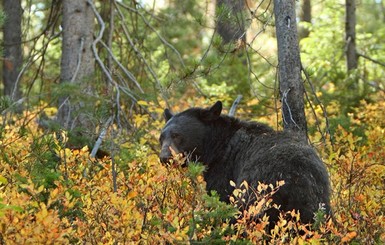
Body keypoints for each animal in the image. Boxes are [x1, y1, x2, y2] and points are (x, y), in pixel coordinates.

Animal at [159, 101, 330, 226]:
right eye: (161, 137)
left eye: (177, 135)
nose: (164, 157)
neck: (217, 147)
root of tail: (297, 178)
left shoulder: (225, 170)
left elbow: (219, 198)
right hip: (318, 202)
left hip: (257, 193)